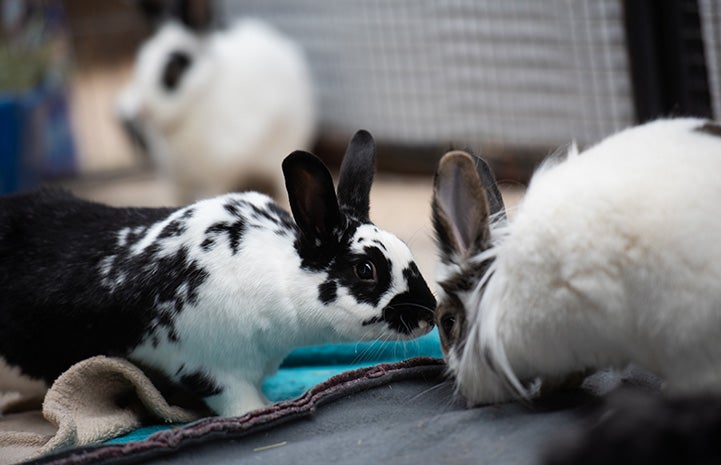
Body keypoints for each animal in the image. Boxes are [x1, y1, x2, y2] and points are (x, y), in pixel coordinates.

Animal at [0, 129, 436, 416]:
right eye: (366, 269)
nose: (429, 313)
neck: (279, 278)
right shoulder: (212, 369)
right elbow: (239, 403)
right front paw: (267, 410)